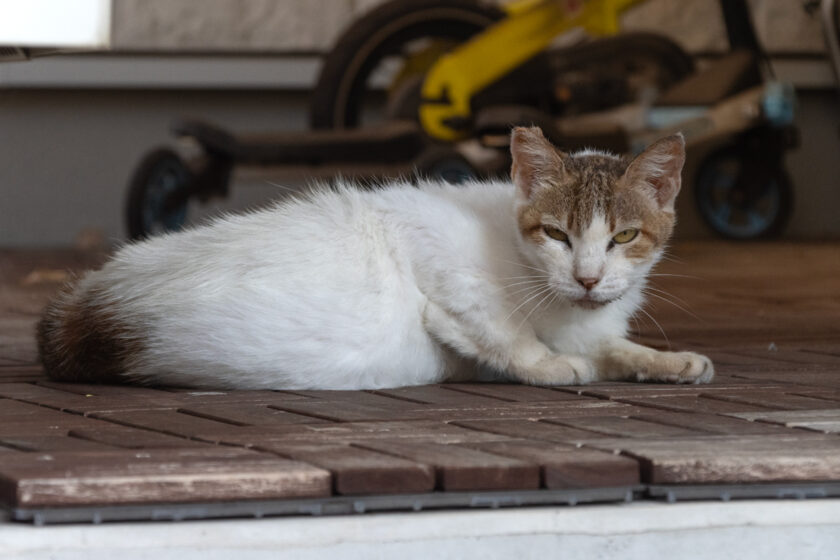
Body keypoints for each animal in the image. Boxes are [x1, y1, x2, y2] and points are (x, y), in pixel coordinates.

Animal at [36, 127, 712, 390]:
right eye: (556, 234)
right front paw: (549, 363)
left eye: (624, 237)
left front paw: (669, 361)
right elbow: (500, 328)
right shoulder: (422, 236)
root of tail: (81, 312)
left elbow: (617, 347)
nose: (589, 277)